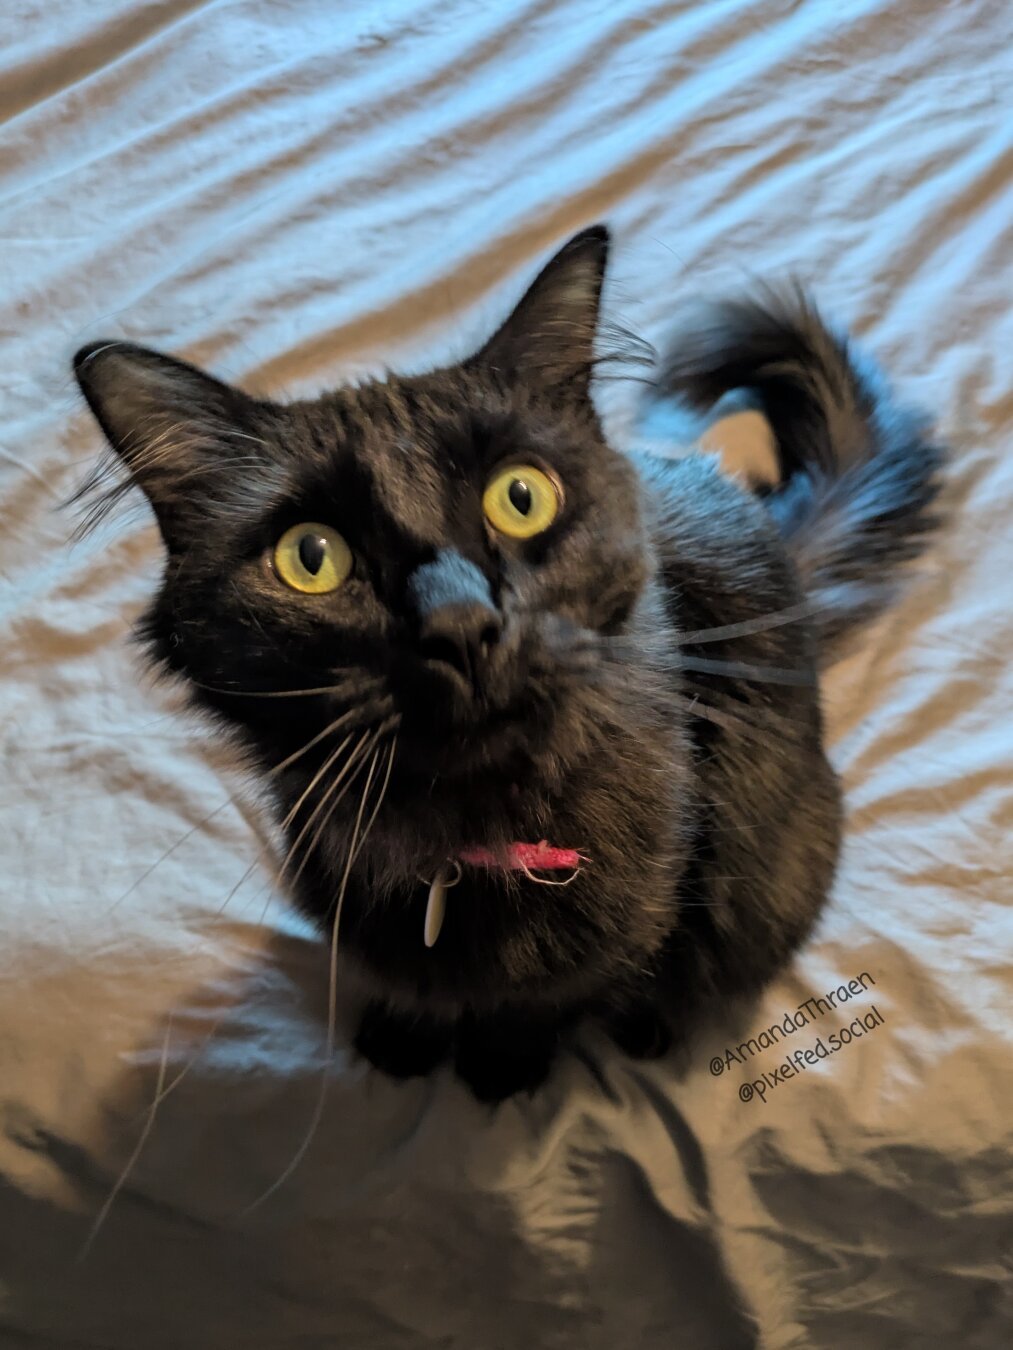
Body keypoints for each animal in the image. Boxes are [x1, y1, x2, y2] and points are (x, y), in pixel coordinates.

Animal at [71, 226, 945, 1101]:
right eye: (309, 557)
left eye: (520, 498)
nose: (459, 624)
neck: (459, 845)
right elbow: (408, 984)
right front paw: (402, 1039)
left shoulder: (625, 928)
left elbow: (548, 1002)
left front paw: (500, 1069)